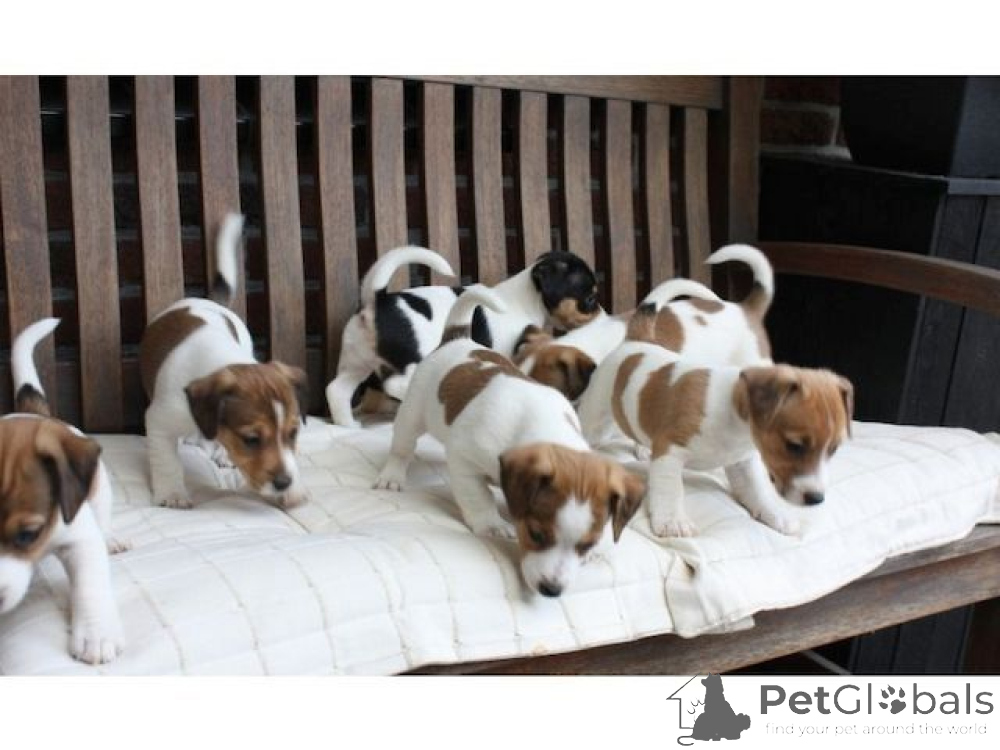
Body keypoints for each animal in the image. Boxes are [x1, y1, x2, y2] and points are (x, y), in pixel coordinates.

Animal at [0, 319, 123, 664]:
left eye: (27, 535)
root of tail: (37, 415)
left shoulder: (80, 537)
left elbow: (89, 584)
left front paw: (96, 634)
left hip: (100, 489)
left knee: (102, 517)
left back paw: (112, 538)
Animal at [139, 214, 308, 510]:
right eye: (251, 439)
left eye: (293, 433)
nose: (283, 483)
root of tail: (205, 300)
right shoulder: (159, 420)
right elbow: (167, 461)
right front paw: (172, 493)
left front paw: (292, 490)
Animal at [326, 248, 601, 427]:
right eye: (589, 298)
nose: (601, 312)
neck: (526, 298)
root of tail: (377, 300)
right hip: (410, 359)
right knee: (395, 384)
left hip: (357, 363)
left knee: (336, 390)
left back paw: (347, 425)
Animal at [373, 287, 645, 597]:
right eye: (536, 534)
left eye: (585, 545)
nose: (551, 590)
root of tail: (457, 338)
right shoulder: (465, 461)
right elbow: (478, 496)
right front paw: (491, 524)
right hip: (412, 414)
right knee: (402, 448)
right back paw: (392, 476)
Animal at [578, 341, 853, 538]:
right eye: (794, 446)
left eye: (833, 450)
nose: (817, 499)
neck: (731, 413)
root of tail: (628, 345)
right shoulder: (669, 450)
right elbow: (671, 489)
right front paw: (672, 520)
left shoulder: (743, 462)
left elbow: (759, 490)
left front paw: (775, 513)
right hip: (595, 419)